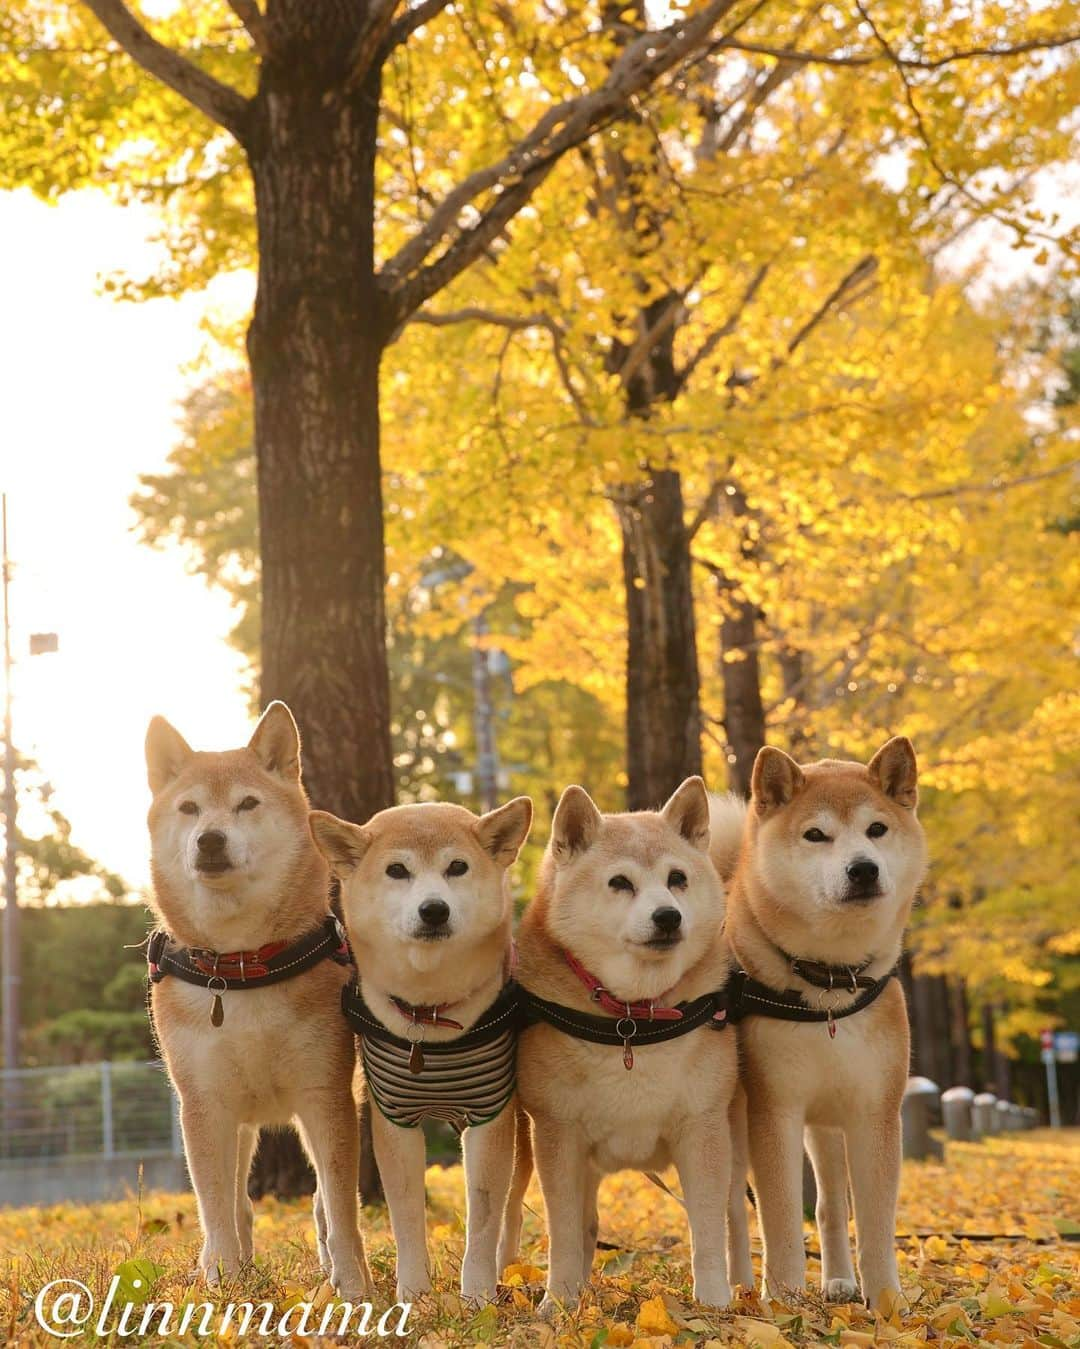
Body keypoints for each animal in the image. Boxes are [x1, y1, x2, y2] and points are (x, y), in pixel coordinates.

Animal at [144, 706, 372, 1295]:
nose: (209, 839)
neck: (243, 966)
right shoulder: (204, 1103)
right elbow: (216, 1210)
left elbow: (342, 1212)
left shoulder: (324, 1094)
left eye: (247, 803)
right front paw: (222, 1282)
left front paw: (353, 1287)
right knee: (237, 1204)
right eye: (189, 808)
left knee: (321, 1204)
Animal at [310, 793, 533, 1300]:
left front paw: (477, 1296)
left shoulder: (491, 1116)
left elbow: (483, 1218)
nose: (434, 909)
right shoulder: (394, 1120)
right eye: (397, 870)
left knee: (513, 1203)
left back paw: (507, 1267)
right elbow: (407, 1217)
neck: (430, 1017)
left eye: (457, 867)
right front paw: (413, 1294)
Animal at [512, 777, 733, 1311]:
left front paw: (716, 1304)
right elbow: (564, 1234)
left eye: (677, 878)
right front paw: (559, 1303)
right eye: (620, 883)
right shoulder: (558, 1135)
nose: (668, 916)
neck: (633, 1018)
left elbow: (708, 1231)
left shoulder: (703, 1129)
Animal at [711, 739, 933, 1305]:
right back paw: (741, 1287)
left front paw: (888, 1303)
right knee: (731, 1211)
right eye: (816, 835)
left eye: (877, 829)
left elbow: (873, 1222)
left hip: (828, 1125)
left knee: (831, 1205)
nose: (863, 869)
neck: (829, 987)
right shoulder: (775, 1109)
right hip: (730, 1126)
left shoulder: (875, 1111)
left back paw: (838, 1281)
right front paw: (785, 1300)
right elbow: (780, 1217)